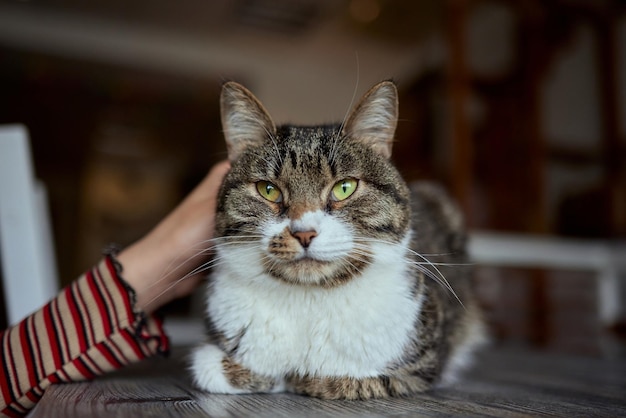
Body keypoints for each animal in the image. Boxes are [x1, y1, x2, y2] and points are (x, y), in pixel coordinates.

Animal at [188, 80, 486, 400]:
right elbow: (217, 368)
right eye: (268, 190)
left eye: (345, 187)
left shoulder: (420, 364)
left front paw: (304, 378)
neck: (308, 301)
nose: (304, 232)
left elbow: (345, 380)